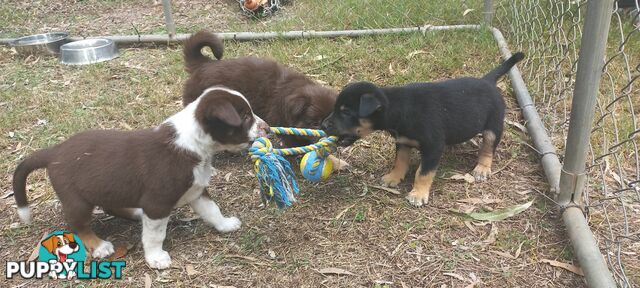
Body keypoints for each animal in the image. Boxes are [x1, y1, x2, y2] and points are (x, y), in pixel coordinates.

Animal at [13, 86, 268, 268]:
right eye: (245, 116)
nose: (266, 127)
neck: (195, 144)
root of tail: (54, 152)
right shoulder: (157, 203)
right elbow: (155, 235)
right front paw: (156, 258)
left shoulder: (197, 190)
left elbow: (212, 210)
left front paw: (225, 225)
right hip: (77, 199)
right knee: (77, 224)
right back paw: (99, 245)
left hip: (108, 187)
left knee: (110, 206)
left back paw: (134, 213)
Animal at [322, 53, 524, 207]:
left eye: (346, 112)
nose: (323, 125)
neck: (399, 108)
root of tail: (487, 81)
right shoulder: (403, 142)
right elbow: (400, 162)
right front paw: (394, 177)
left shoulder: (433, 147)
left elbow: (423, 173)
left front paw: (418, 194)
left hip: (493, 126)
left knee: (488, 147)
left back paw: (482, 168)